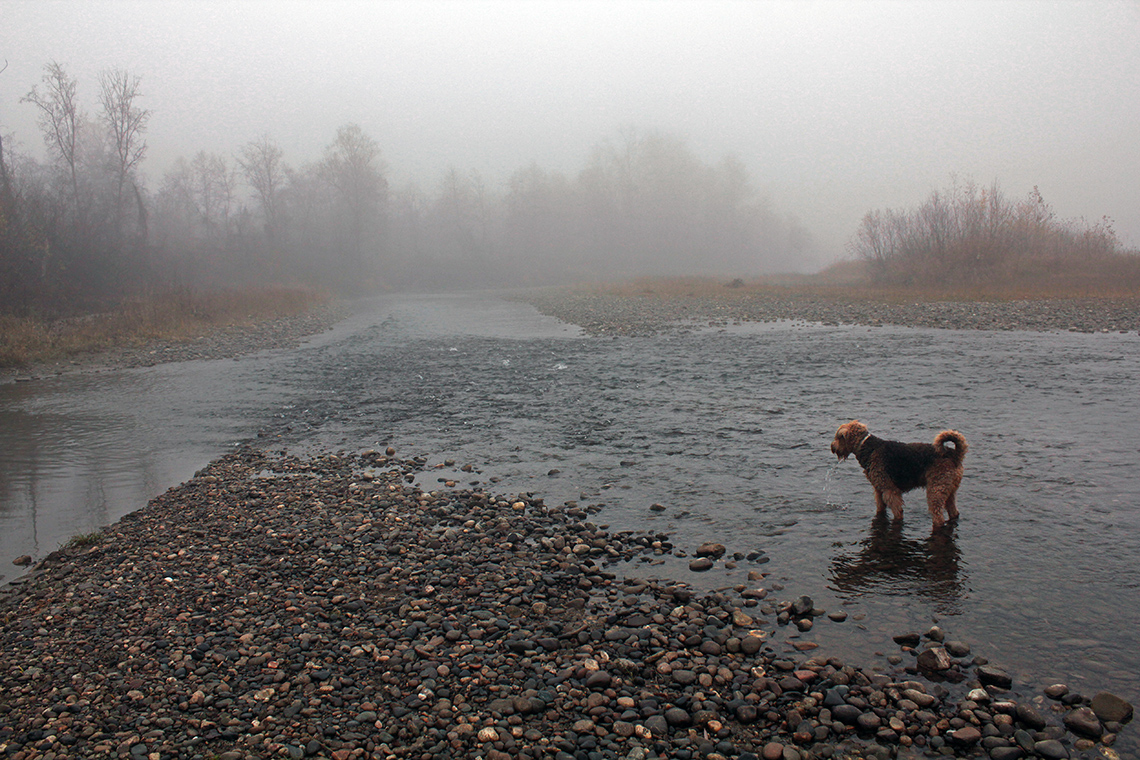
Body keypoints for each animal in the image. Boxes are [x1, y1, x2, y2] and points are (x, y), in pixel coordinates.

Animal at [834, 421, 966, 528]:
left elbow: (898, 512)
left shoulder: (890, 491)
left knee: (938, 516)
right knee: (954, 512)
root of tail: (955, 454)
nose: (833, 448)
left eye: (838, 437)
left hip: (936, 490)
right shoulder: (878, 489)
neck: (866, 447)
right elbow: (880, 507)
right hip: (949, 490)